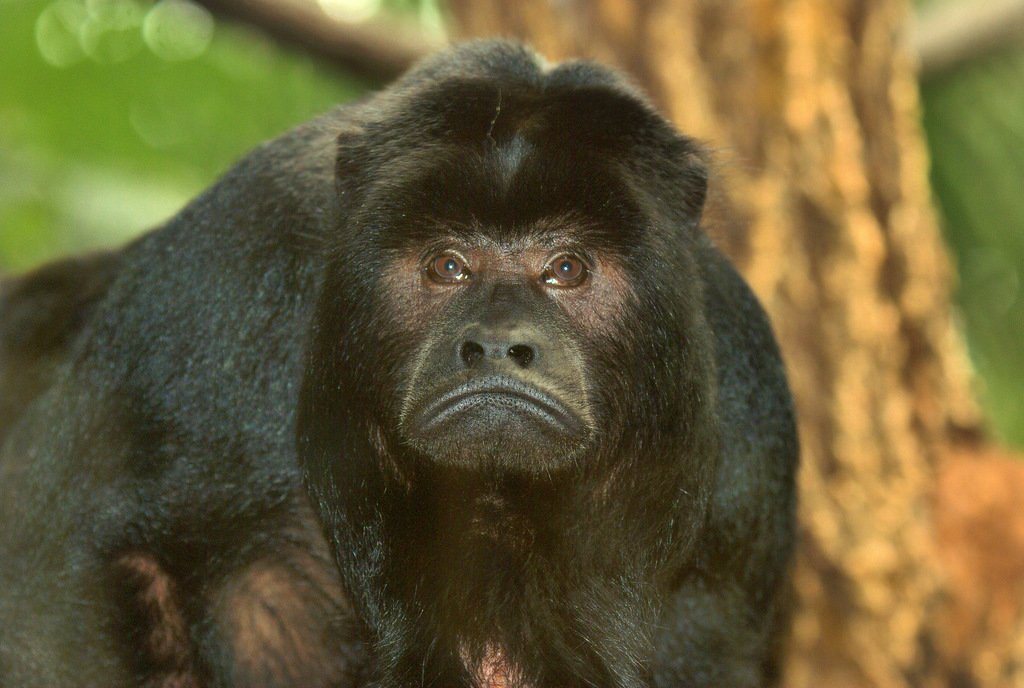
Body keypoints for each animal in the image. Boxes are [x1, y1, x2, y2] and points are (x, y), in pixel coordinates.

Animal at [0, 41, 797, 688]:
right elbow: (64, 572)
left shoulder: (744, 407)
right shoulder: (224, 275)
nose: (497, 346)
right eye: (447, 265)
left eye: (566, 268)